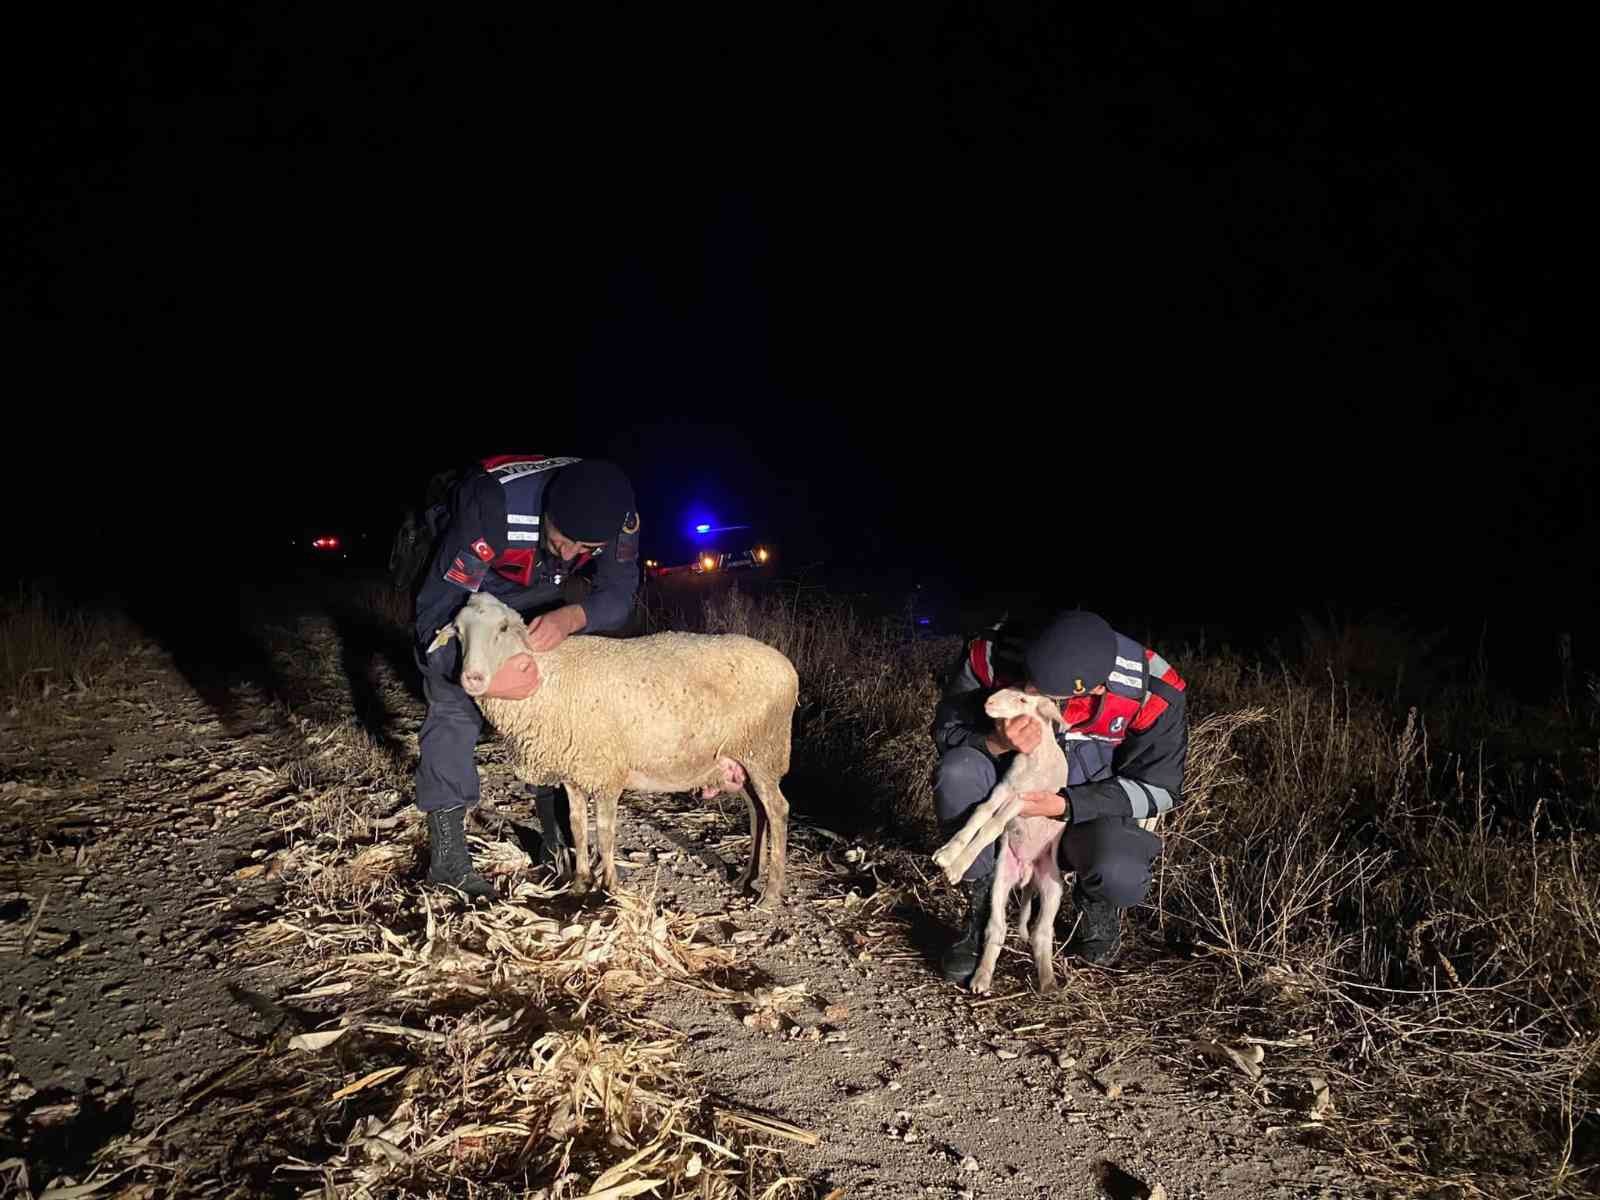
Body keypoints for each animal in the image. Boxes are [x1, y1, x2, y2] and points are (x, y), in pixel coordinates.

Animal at [425, 592, 800, 908]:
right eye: (458, 633)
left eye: (503, 628)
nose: (471, 678)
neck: (547, 677)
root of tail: (788, 667)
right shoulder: (574, 773)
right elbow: (577, 825)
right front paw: (580, 882)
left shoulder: (606, 772)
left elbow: (605, 832)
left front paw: (609, 887)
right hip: (739, 760)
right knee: (758, 812)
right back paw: (748, 878)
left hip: (764, 751)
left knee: (777, 810)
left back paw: (770, 894)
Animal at [934, 691, 1081, 998]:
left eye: (1023, 699)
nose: (988, 703)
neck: (1032, 757)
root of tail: (1028, 875)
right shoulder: (1003, 790)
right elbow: (980, 814)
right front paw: (949, 855)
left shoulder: (1023, 800)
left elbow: (993, 826)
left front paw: (957, 865)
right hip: (1001, 880)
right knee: (997, 928)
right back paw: (981, 979)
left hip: (1053, 887)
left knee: (1041, 934)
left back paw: (1048, 981)